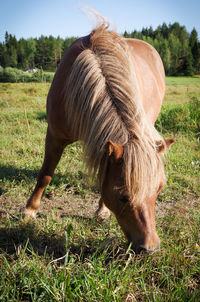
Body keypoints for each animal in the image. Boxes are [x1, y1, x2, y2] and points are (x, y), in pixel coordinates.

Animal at [21, 17, 173, 252]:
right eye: (123, 197)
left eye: (157, 191)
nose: (151, 247)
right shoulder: (54, 135)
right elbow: (45, 174)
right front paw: (30, 210)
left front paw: (102, 211)